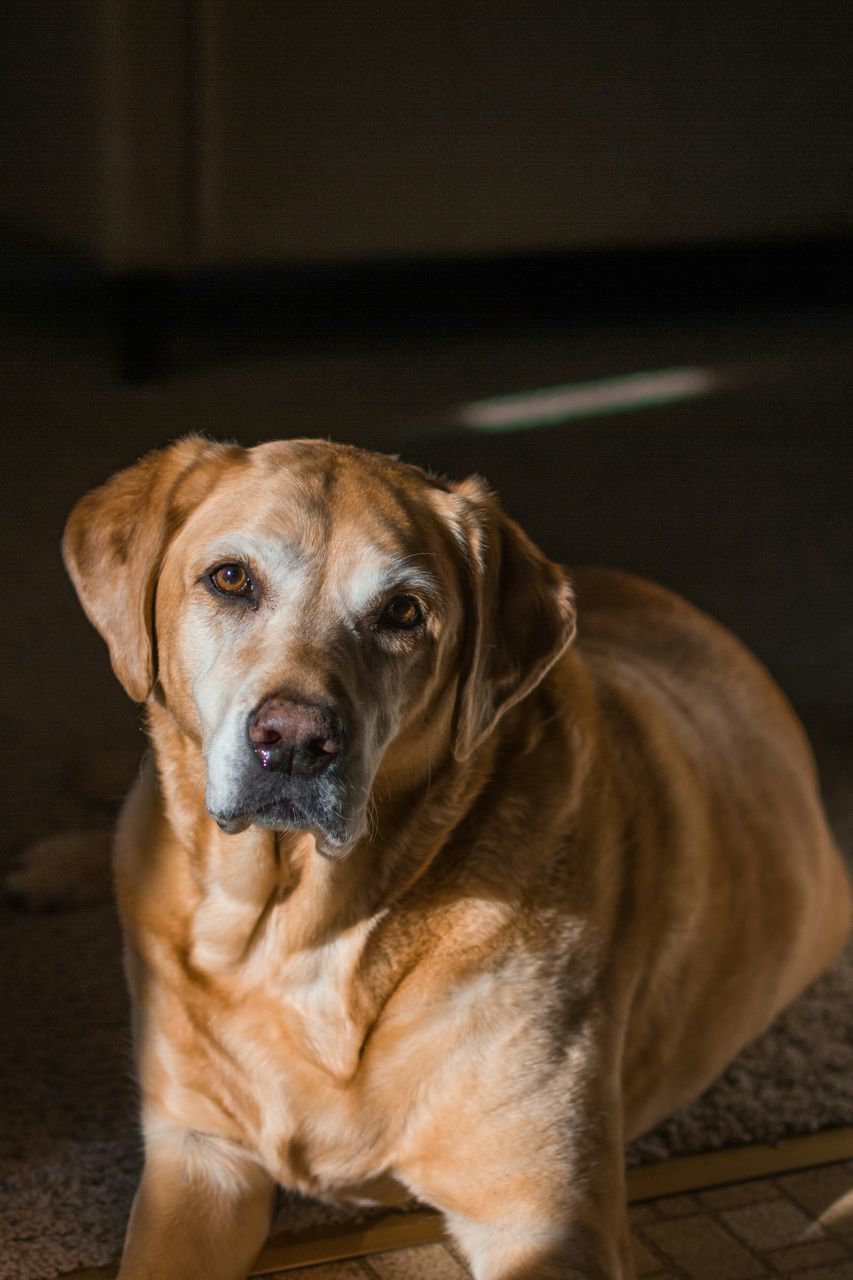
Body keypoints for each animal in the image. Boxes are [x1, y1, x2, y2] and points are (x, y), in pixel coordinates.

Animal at [48, 435, 850, 1274]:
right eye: (231, 579)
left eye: (403, 612)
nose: (295, 741)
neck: (303, 929)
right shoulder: (196, 1153)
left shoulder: (544, 1221)